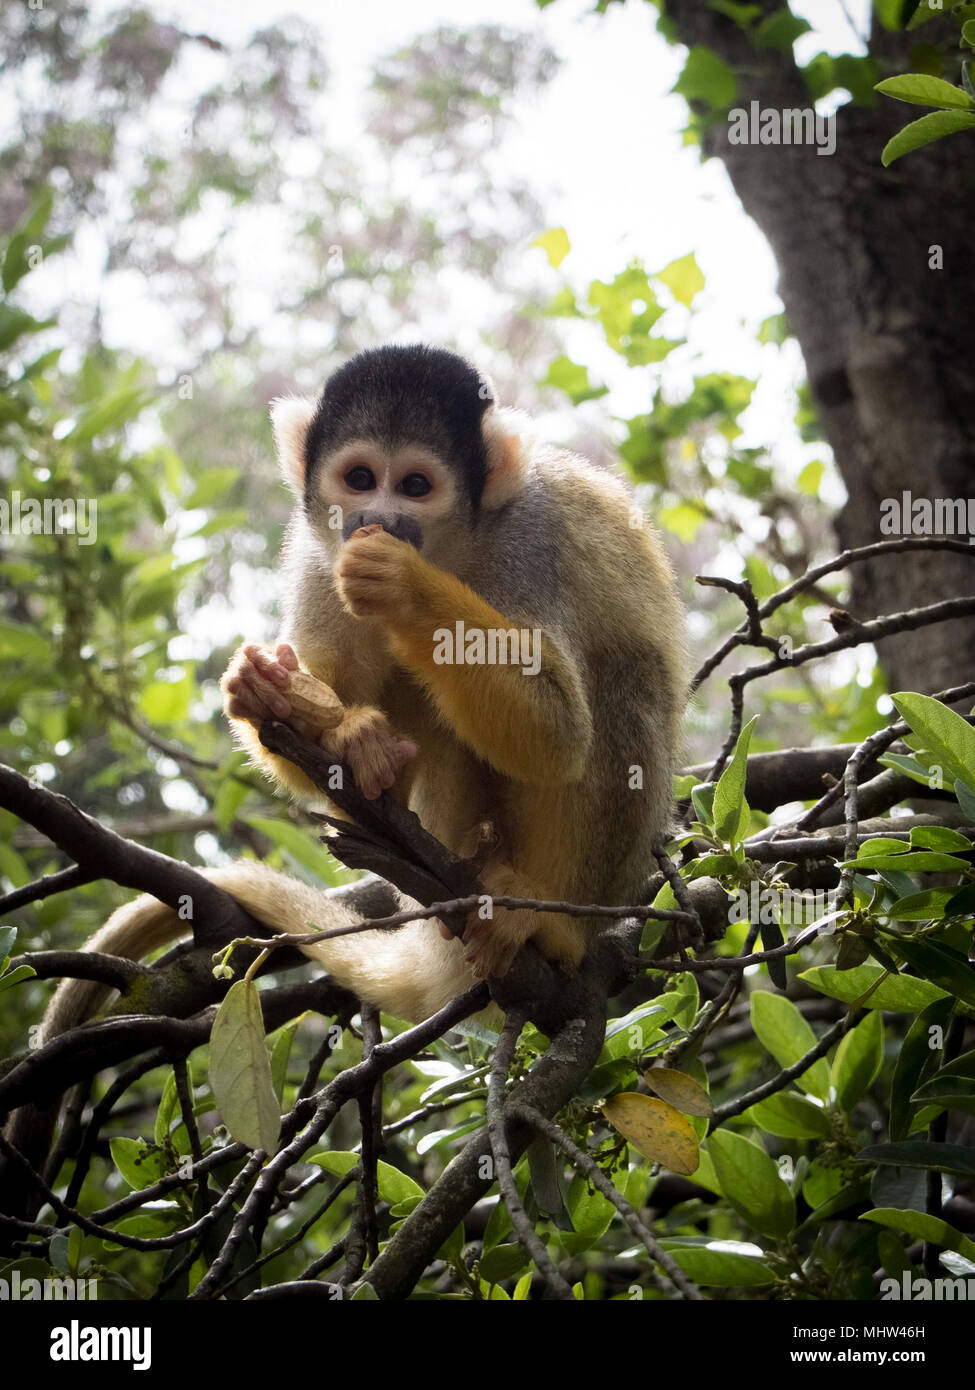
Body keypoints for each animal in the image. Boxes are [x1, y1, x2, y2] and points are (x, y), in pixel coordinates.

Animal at [36, 347, 684, 1034]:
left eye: (416, 487)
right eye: (360, 477)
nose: (377, 520)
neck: (454, 550)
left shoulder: (531, 544)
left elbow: (557, 734)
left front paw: (401, 583)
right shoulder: (317, 551)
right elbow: (318, 692)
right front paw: (277, 700)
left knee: (624, 685)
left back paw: (546, 922)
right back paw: (380, 775)